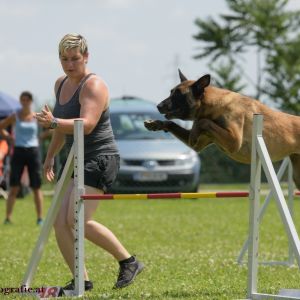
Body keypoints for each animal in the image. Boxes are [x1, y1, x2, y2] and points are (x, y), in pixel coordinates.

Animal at [144, 69, 300, 189]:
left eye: (178, 94)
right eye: (171, 92)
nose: (158, 106)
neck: (213, 105)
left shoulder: (233, 141)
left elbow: (203, 121)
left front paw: (195, 130)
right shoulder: (201, 143)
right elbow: (173, 124)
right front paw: (155, 124)